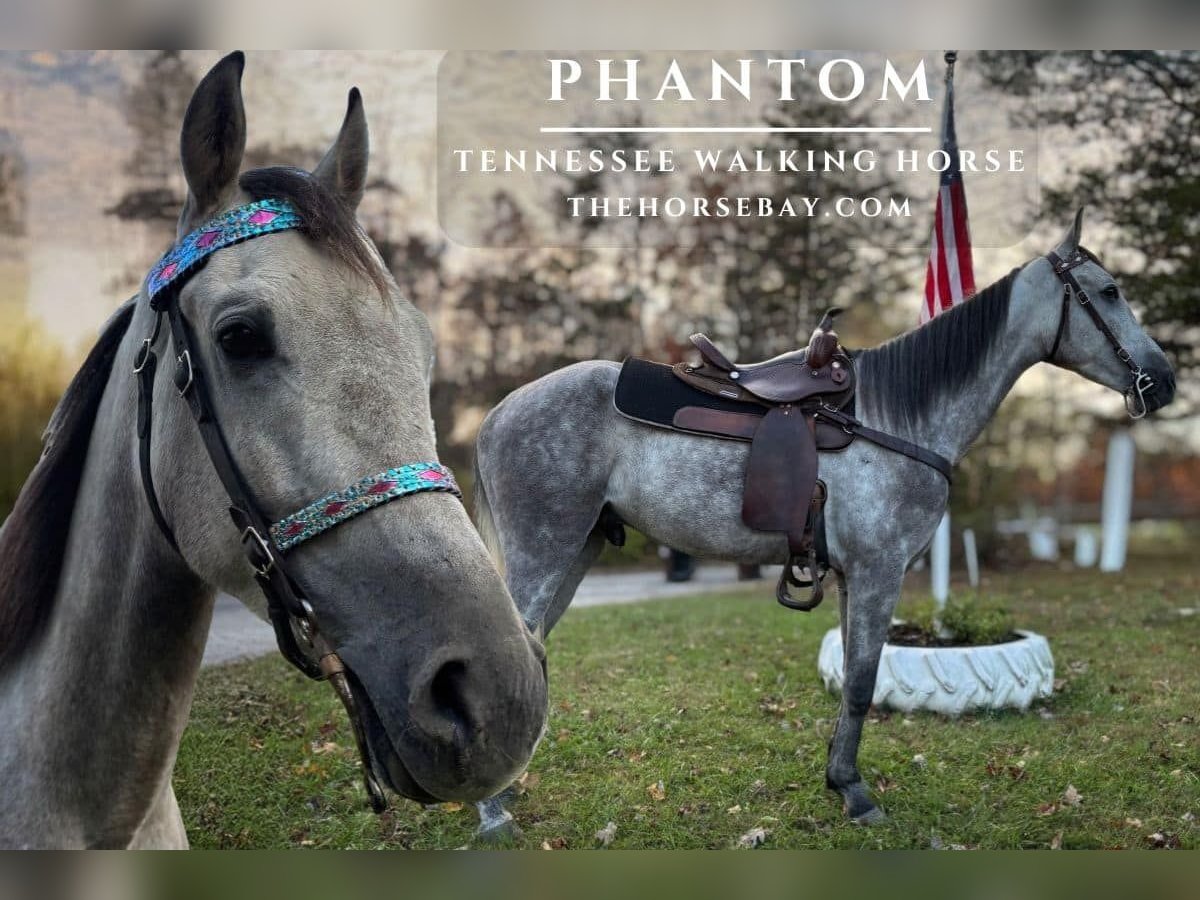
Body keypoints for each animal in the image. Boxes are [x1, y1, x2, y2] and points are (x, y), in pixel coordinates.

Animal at [470, 211, 1176, 836]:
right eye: (1108, 291)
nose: (1163, 380)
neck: (899, 418)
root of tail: (498, 412)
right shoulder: (878, 572)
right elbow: (863, 683)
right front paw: (856, 795)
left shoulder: (850, 577)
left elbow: (855, 685)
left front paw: (839, 781)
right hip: (547, 550)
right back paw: (492, 811)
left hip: (578, 549)